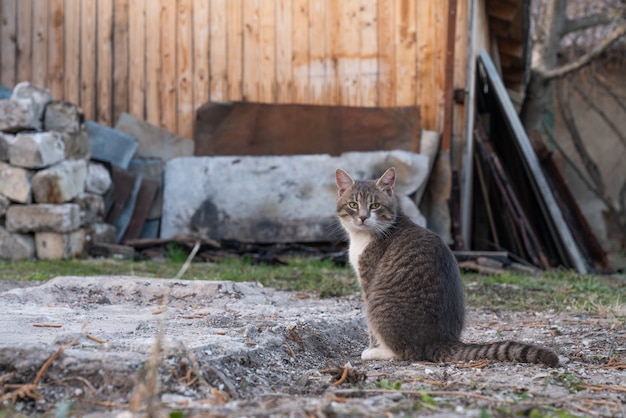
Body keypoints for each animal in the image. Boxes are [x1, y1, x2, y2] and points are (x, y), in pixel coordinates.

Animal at [334, 167, 560, 366]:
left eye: (375, 206)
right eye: (353, 204)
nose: (363, 217)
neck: (365, 236)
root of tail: (441, 340)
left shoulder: (368, 282)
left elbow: (372, 332)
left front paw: (372, 347)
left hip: (377, 305)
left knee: (407, 351)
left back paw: (376, 353)